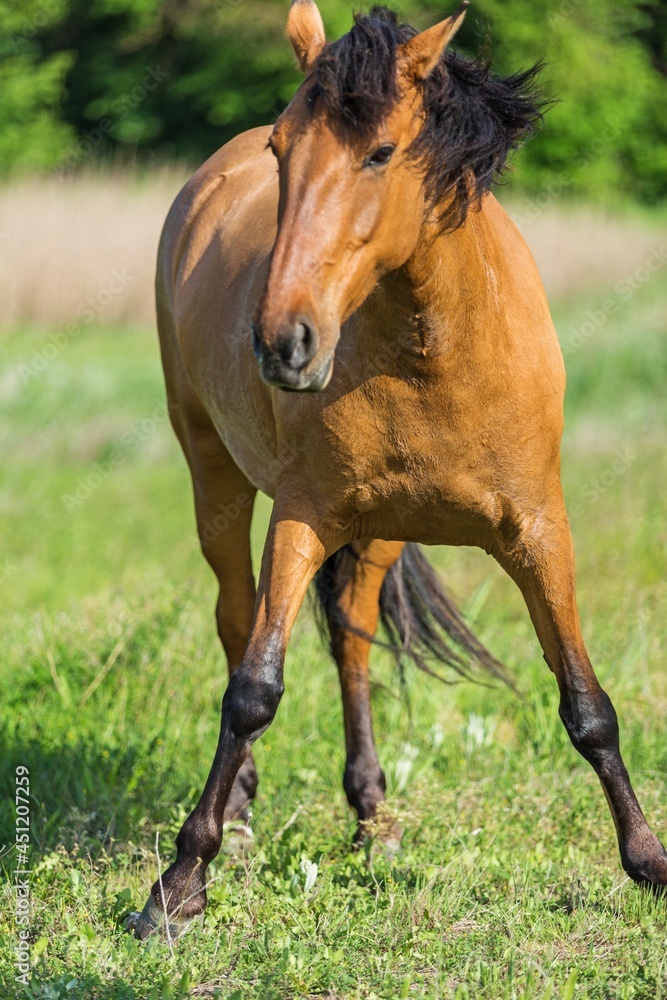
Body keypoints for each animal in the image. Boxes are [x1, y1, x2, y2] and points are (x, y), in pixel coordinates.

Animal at [128, 1, 664, 936]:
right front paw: (179, 882)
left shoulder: (537, 530)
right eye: (281, 153)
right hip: (213, 473)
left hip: (378, 531)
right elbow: (253, 688)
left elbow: (586, 704)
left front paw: (648, 862)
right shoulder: (300, 517)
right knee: (236, 620)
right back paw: (243, 813)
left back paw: (373, 816)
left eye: (380, 153)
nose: (283, 342)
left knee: (351, 636)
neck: (435, 351)